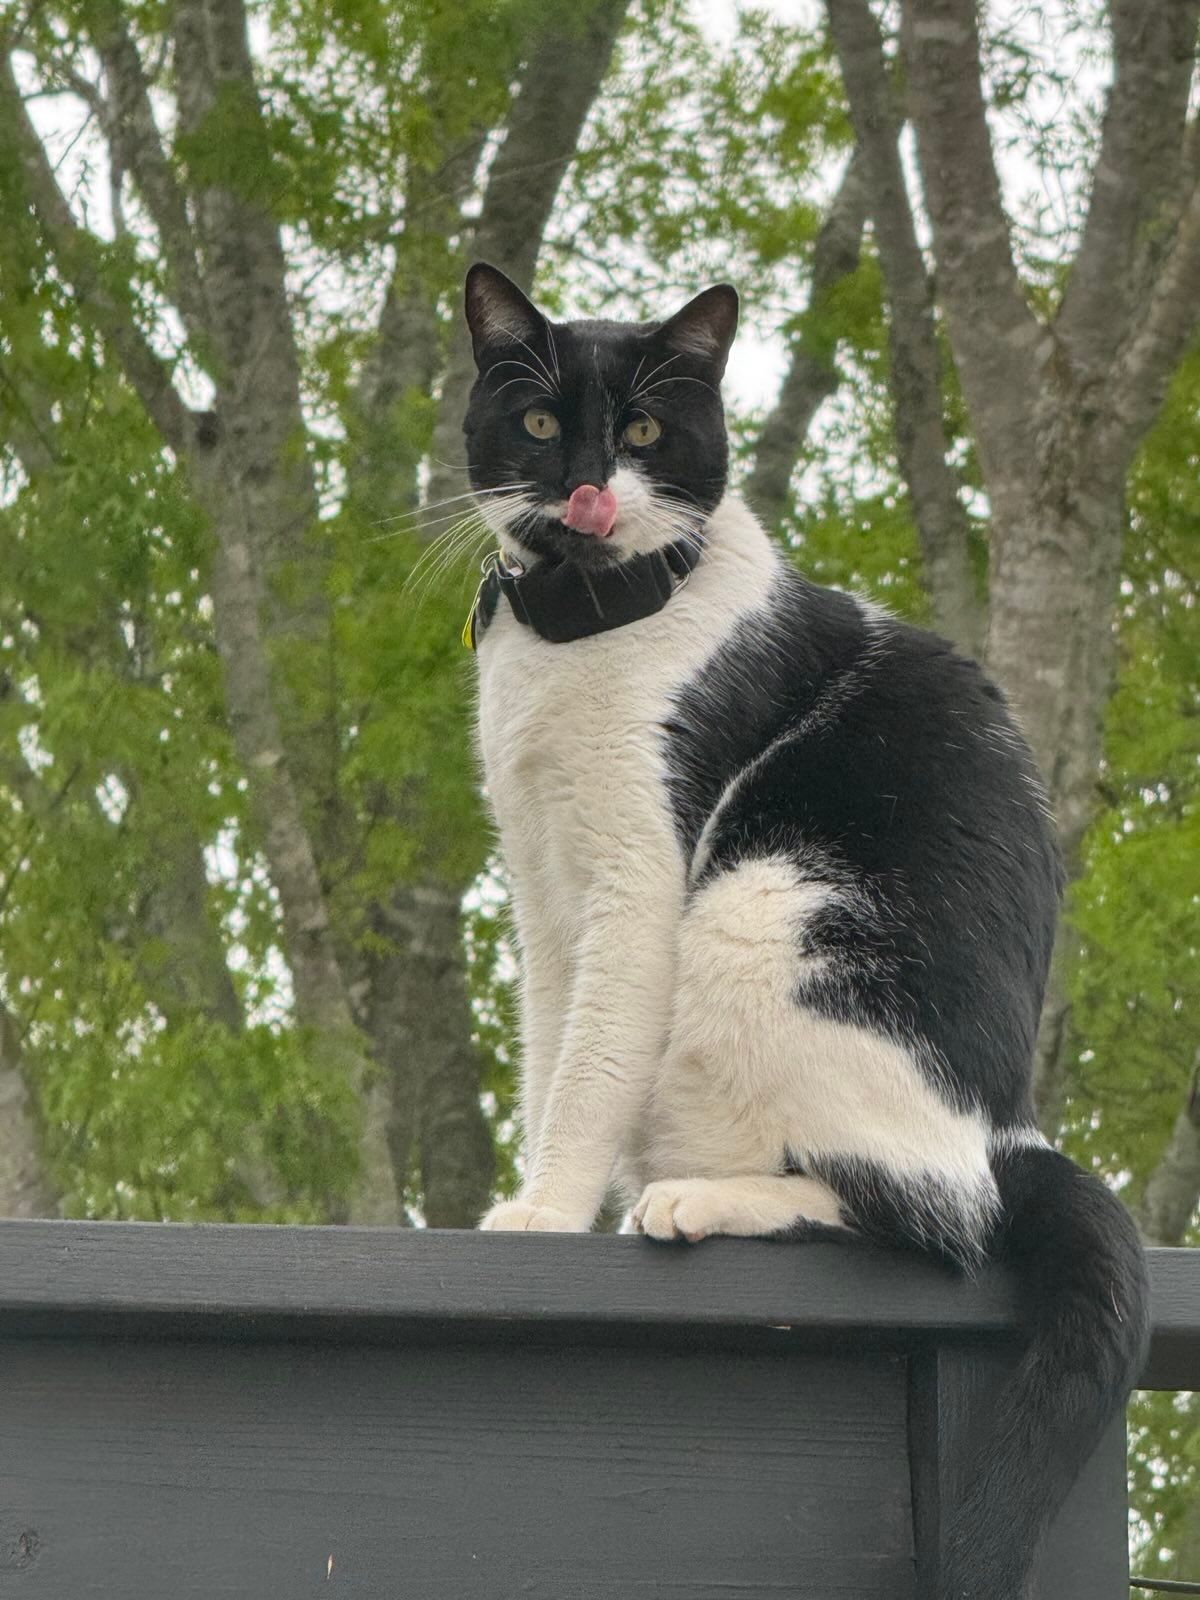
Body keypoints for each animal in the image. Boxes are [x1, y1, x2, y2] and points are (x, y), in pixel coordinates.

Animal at [460, 260, 1148, 1599]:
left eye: (641, 431)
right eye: (536, 420)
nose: (584, 482)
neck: (587, 625)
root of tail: (1008, 1128)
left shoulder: (635, 884)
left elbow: (591, 1063)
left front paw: (547, 1212)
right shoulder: (542, 891)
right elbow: (548, 1053)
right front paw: (544, 1196)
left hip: (769, 911)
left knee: (933, 1212)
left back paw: (702, 1200)